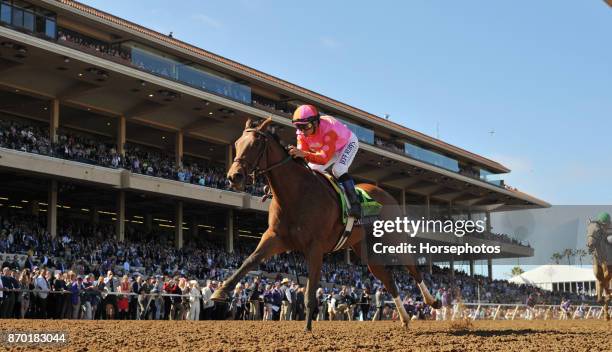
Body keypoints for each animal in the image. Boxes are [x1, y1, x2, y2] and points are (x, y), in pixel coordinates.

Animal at [212, 118, 440, 330]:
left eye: (256, 144)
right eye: (238, 143)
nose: (234, 176)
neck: (295, 194)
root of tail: (384, 192)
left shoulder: (315, 247)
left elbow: (310, 292)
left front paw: (307, 328)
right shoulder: (276, 237)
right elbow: (249, 261)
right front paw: (220, 290)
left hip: (394, 238)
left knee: (413, 268)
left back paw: (432, 301)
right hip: (366, 249)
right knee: (388, 278)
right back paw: (405, 318)